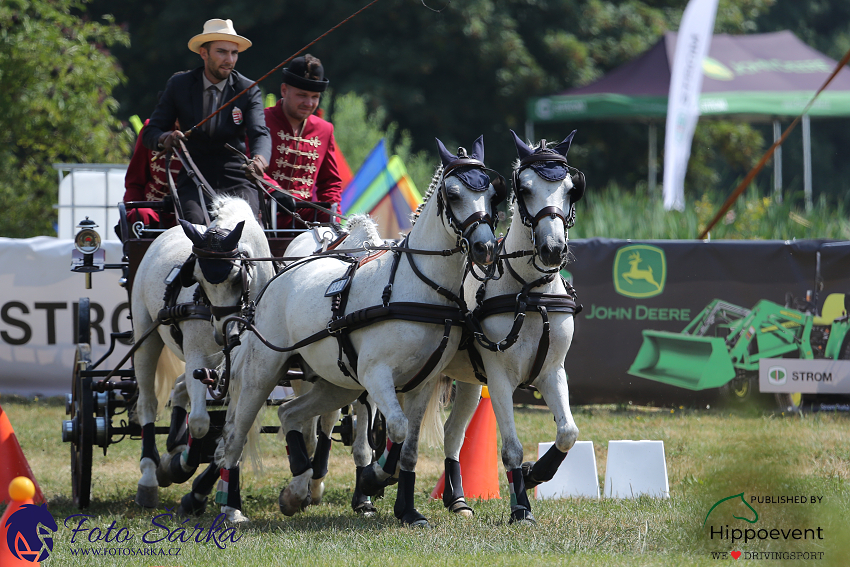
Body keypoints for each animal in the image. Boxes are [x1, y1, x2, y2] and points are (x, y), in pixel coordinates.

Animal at [129, 196, 272, 510]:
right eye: (195, 277)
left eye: (236, 275)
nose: (224, 333)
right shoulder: (198, 357)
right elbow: (199, 423)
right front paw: (178, 468)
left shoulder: (242, 371)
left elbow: (233, 432)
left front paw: (201, 488)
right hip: (146, 337)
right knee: (147, 404)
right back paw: (150, 474)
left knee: (181, 388)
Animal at [215, 135, 500, 524]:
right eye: (453, 194)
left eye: (492, 194)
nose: (486, 248)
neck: (419, 289)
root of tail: (279, 275)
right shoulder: (375, 375)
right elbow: (396, 428)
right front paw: (372, 480)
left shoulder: (423, 383)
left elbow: (409, 446)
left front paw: (406, 509)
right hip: (265, 371)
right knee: (236, 433)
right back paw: (232, 507)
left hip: (337, 384)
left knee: (291, 414)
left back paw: (296, 489)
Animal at [438, 131, 584, 524]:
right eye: (526, 188)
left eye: (570, 189)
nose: (553, 249)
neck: (530, 294)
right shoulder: (500, 378)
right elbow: (512, 448)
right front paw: (521, 507)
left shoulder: (553, 371)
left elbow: (568, 432)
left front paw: (536, 473)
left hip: (469, 382)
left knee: (452, 433)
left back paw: (456, 499)